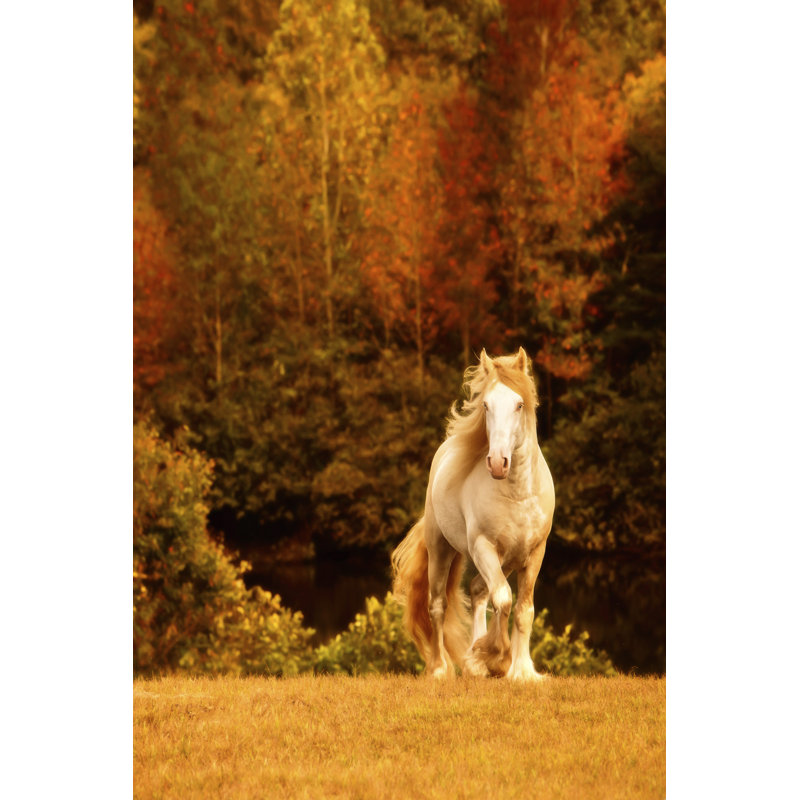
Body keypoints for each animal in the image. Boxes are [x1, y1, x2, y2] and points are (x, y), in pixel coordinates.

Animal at [392, 347, 555, 680]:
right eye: (486, 405)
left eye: (519, 404)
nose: (497, 463)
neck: (518, 494)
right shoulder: (483, 547)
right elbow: (504, 598)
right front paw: (494, 656)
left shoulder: (534, 553)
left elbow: (523, 609)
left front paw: (521, 670)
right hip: (442, 550)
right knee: (438, 605)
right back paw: (441, 668)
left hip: (507, 559)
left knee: (480, 590)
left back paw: (473, 663)